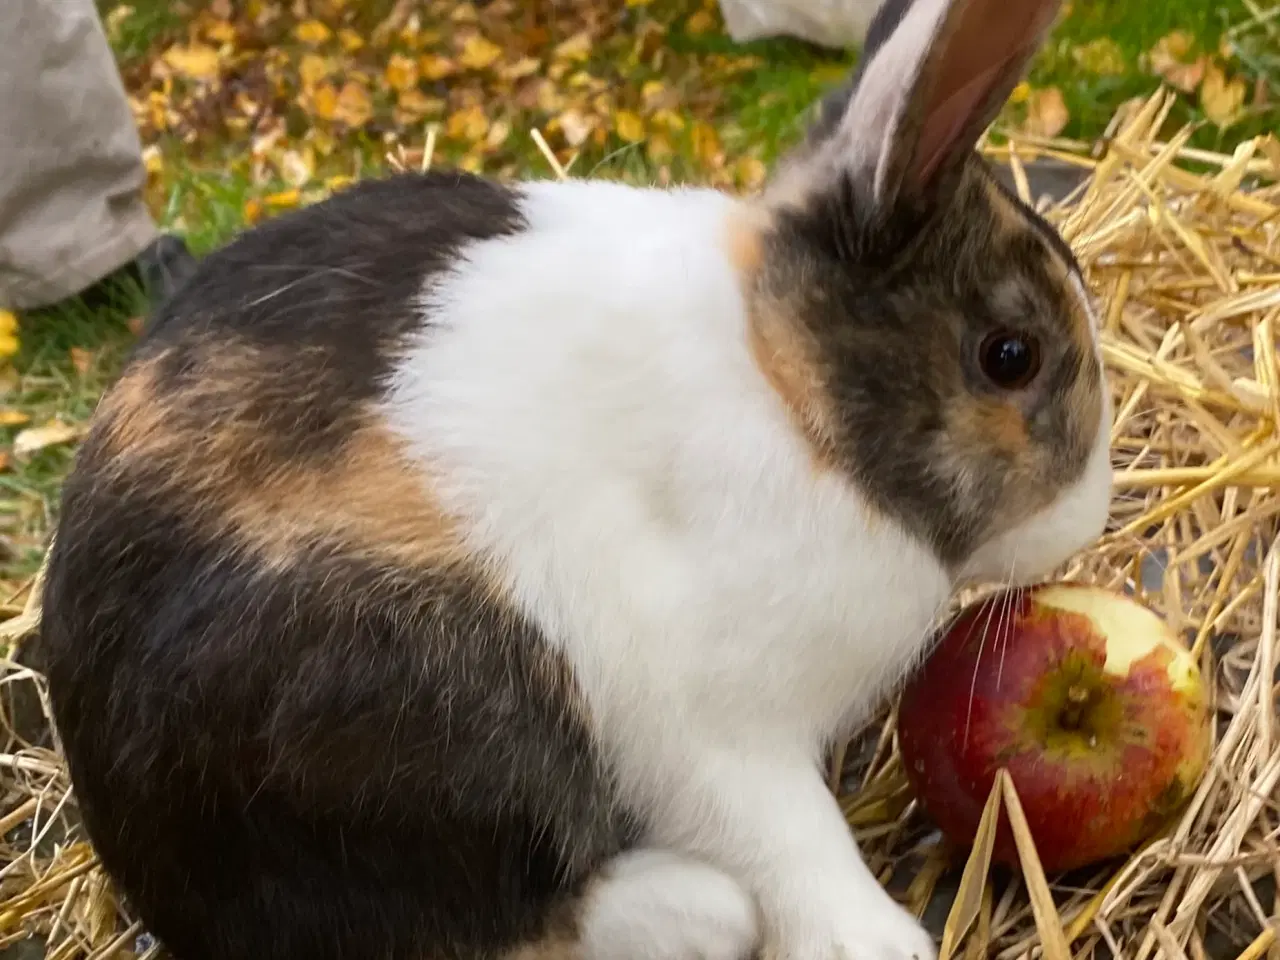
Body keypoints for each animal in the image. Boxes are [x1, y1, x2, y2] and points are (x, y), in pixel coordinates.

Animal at [40, 0, 1116, 957]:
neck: (787, 396)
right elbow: (789, 843)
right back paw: (692, 911)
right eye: (1009, 356)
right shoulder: (716, 735)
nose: (1089, 512)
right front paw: (876, 944)